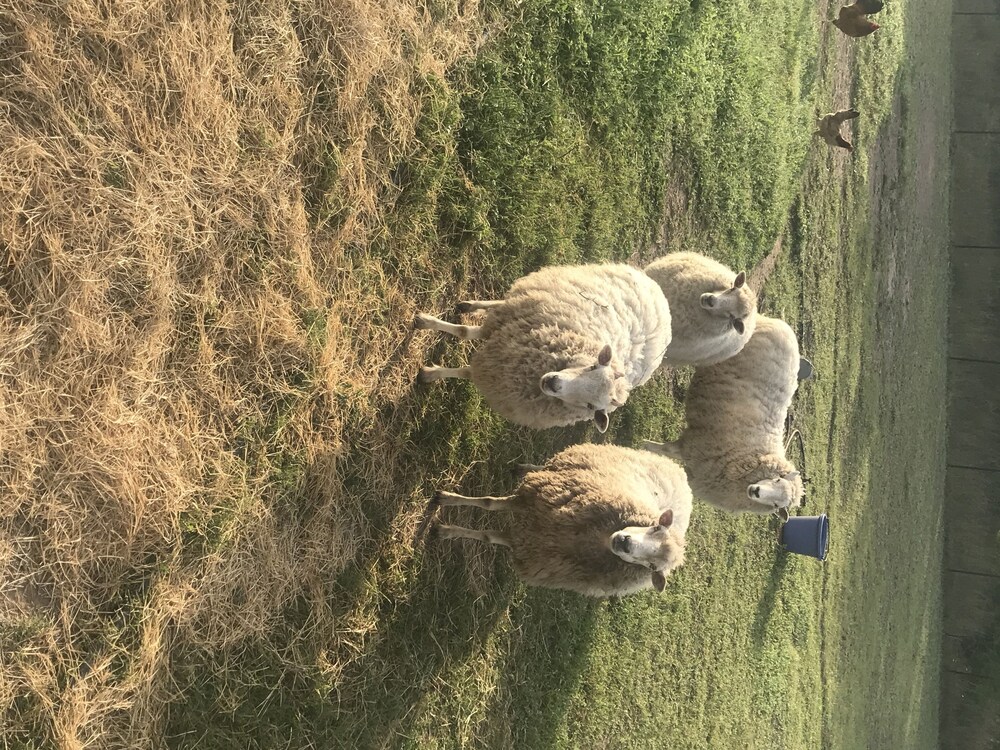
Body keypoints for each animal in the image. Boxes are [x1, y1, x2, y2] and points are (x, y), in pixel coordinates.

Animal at [414, 262, 672, 432]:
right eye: (592, 367)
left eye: (591, 406)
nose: (553, 383)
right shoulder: (507, 329)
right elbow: (464, 331)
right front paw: (424, 322)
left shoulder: (500, 368)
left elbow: (467, 370)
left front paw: (429, 374)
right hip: (534, 294)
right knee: (500, 301)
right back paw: (469, 306)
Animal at [434, 446, 692, 600]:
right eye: (655, 527)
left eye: (652, 567)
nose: (625, 543)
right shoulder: (532, 498)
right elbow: (488, 502)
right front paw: (445, 499)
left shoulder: (529, 545)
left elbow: (488, 535)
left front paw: (445, 530)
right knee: (546, 466)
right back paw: (524, 467)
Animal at [640, 314, 804, 520]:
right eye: (776, 480)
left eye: (776, 504)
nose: (756, 491)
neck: (748, 455)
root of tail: (785, 328)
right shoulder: (695, 445)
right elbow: (664, 449)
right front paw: (643, 445)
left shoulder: (700, 468)